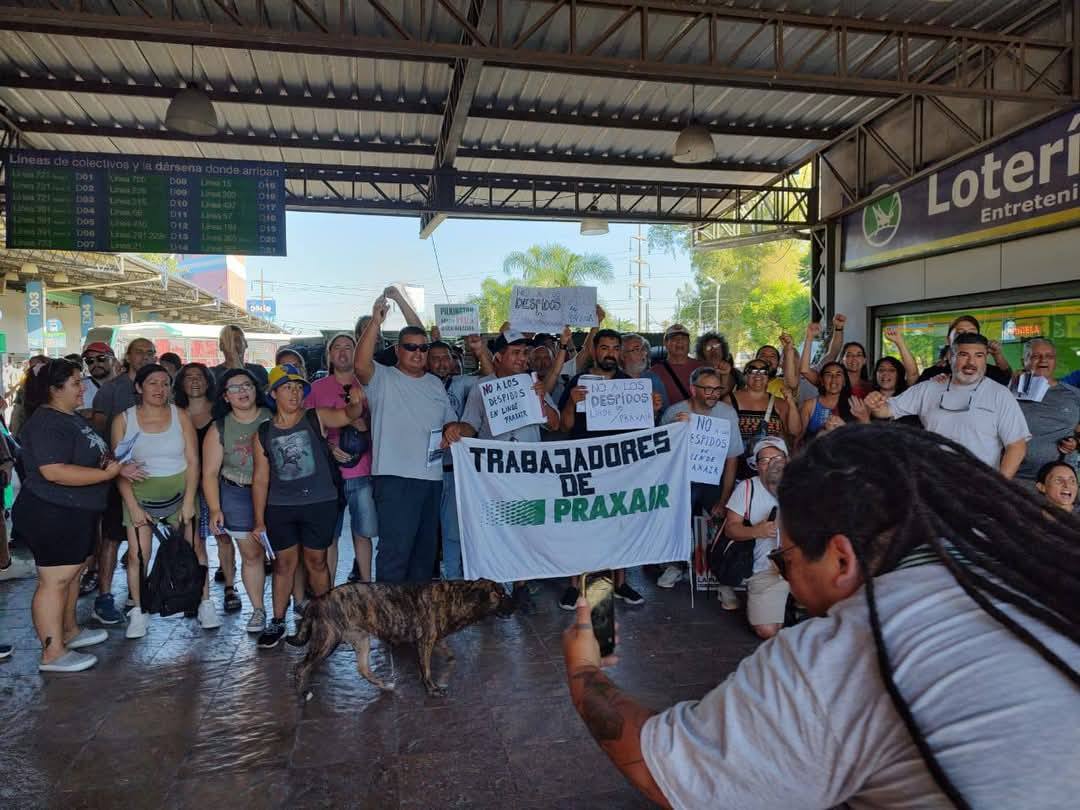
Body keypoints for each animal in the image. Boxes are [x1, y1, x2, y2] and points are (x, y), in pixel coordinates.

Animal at [287, 578, 514, 699]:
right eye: (501, 595)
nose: (516, 605)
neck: (457, 597)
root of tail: (317, 601)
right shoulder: (425, 642)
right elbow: (426, 670)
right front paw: (432, 689)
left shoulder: (435, 638)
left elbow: (446, 650)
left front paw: (449, 659)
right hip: (327, 640)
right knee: (301, 667)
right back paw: (302, 693)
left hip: (361, 640)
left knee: (363, 669)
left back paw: (385, 685)